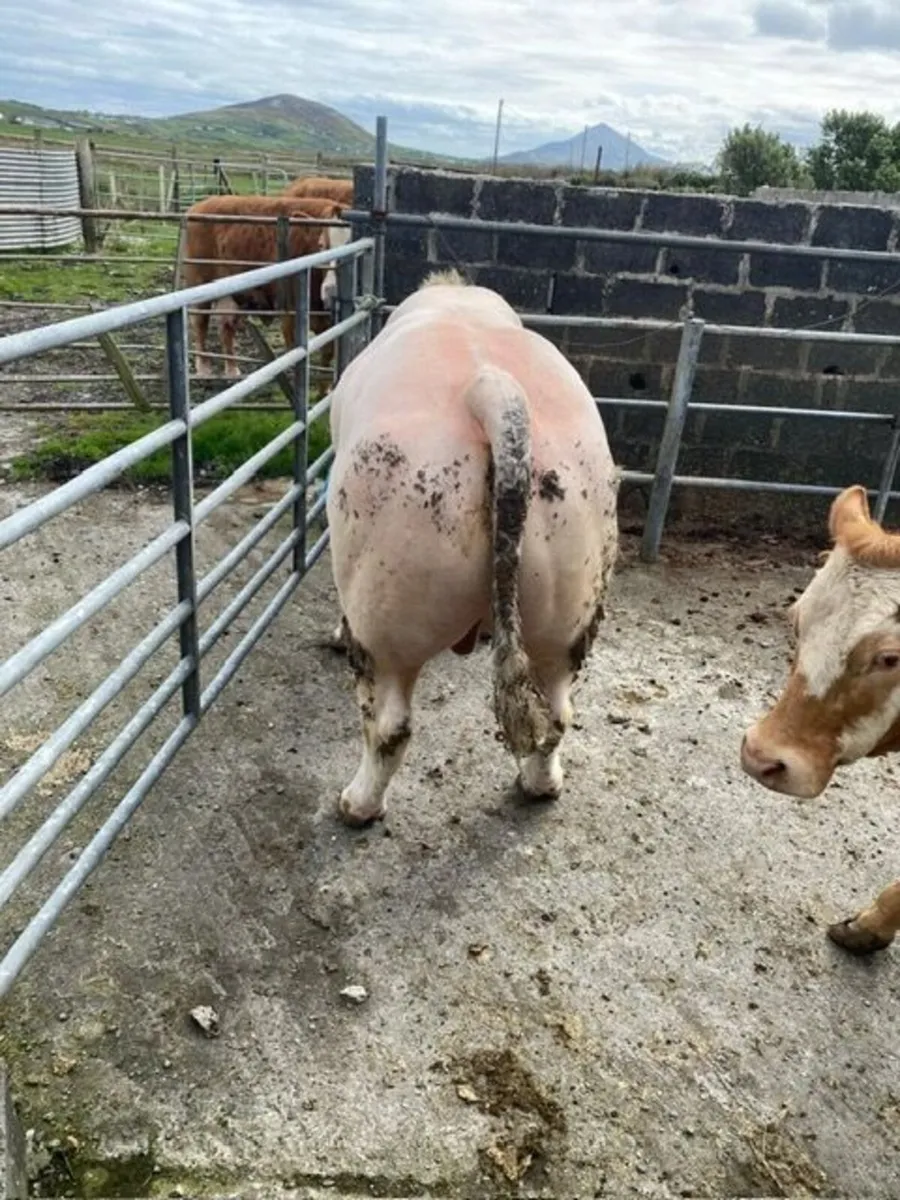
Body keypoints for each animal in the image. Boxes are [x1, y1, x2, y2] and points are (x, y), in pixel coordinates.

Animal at [182, 194, 351, 378]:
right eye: (321, 245)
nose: (331, 290)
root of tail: (201, 205)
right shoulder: (289, 311)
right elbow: (294, 351)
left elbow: (329, 353)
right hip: (199, 283)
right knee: (200, 323)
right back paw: (203, 368)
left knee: (226, 326)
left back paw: (232, 369)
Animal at [325, 270, 619, 827]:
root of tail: (490, 390)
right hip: (570, 592)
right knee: (557, 712)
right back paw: (540, 784)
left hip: (388, 609)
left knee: (388, 724)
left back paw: (356, 804)